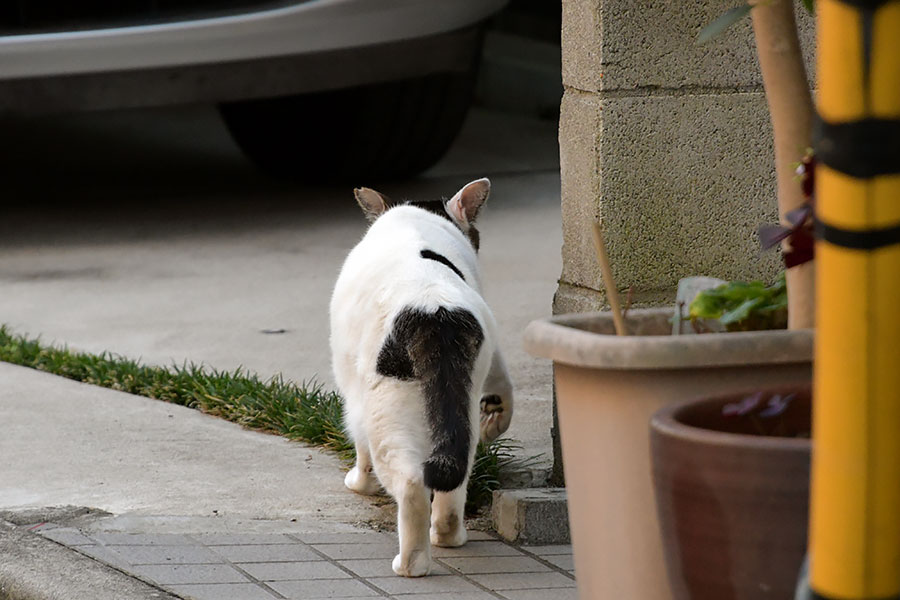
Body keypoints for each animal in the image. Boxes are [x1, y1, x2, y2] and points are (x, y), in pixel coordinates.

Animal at [330, 177, 512, 576]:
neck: (414, 221)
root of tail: (434, 312)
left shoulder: (352, 388)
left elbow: (358, 443)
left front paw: (359, 482)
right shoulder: (492, 344)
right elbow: (504, 385)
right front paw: (497, 419)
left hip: (386, 415)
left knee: (411, 483)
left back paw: (410, 563)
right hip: (461, 408)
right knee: (457, 473)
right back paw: (447, 535)